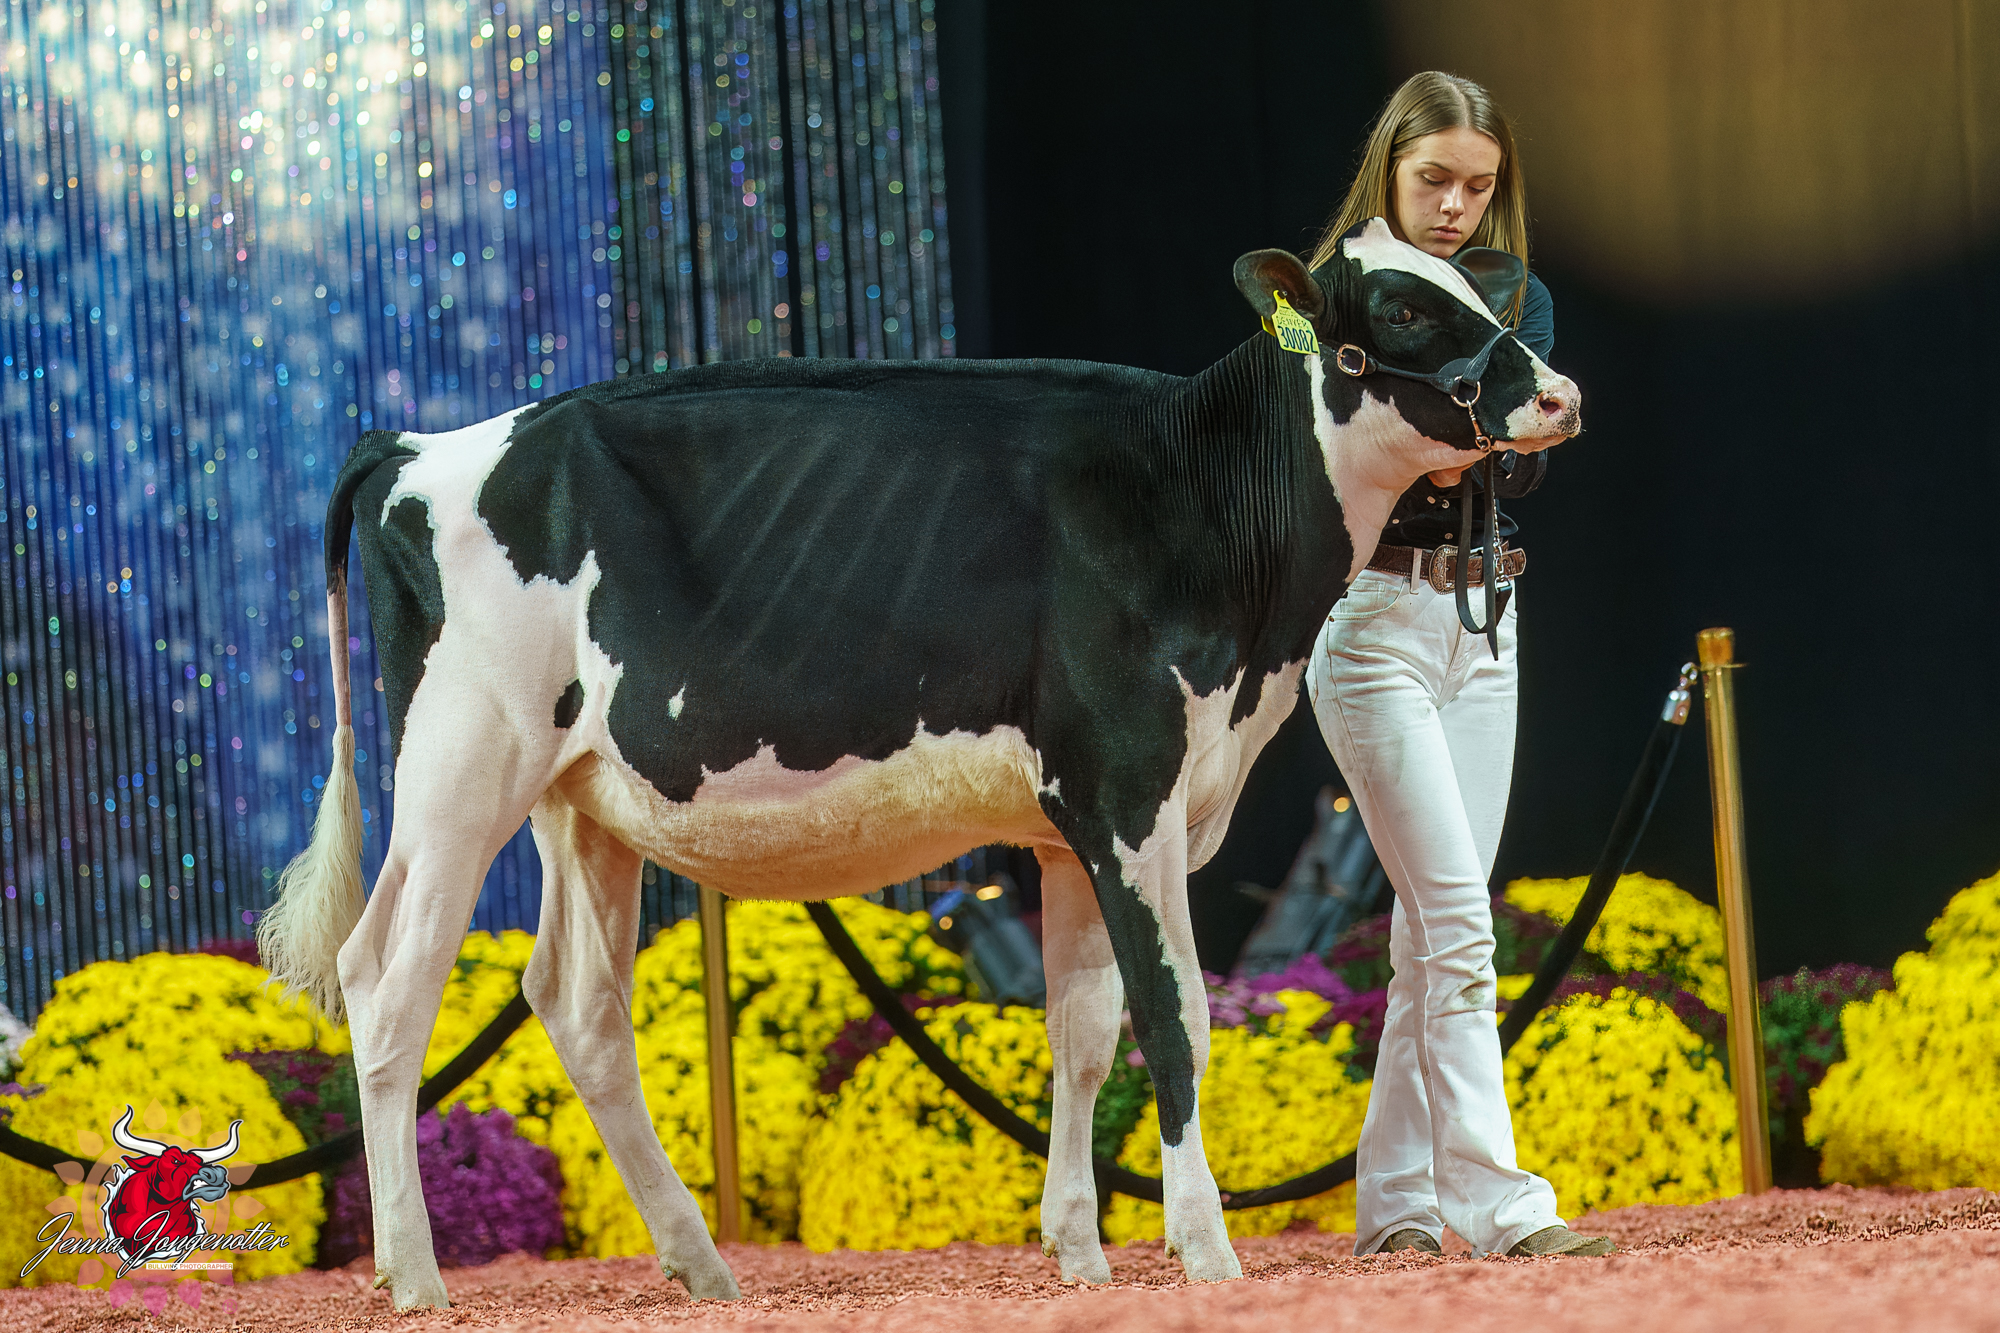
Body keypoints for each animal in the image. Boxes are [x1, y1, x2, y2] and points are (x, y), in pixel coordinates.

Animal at [258, 217, 1579, 1309]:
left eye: (1475, 283)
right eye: (1399, 308)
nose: (1558, 392)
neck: (1200, 507)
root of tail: (420, 446)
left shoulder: (1069, 823)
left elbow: (1080, 1030)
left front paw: (1077, 1249)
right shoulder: (1127, 790)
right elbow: (1173, 1019)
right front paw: (1203, 1249)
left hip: (577, 799)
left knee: (576, 1004)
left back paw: (697, 1262)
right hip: (459, 769)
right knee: (385, 978)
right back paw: (415, 1274)